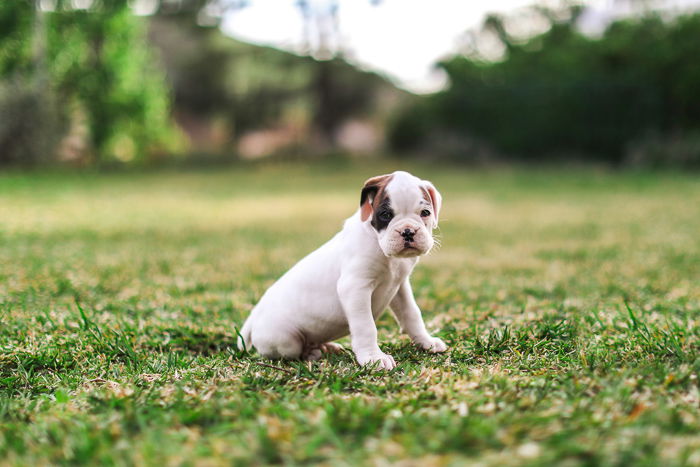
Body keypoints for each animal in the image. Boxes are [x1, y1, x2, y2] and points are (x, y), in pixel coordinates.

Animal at [239, 170, 448, 372]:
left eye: (425, 212)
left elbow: (412, 314)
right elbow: (366, 326)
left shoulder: (400, 286)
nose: (408, 231)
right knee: (293, 351)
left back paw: (326, 347)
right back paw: (313, 353)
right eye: (385, 214)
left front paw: (426, 342)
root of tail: (254, 314)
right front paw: (373, 358)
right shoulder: (355, 288)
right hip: (285, 340)